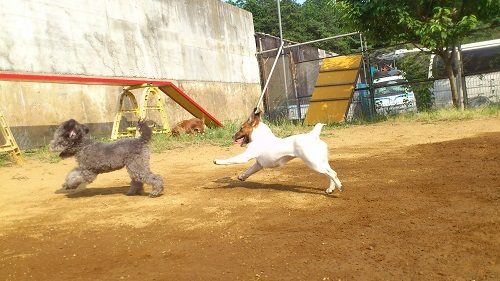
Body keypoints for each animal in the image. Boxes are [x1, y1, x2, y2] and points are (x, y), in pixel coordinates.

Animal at [213, 107, 342, 192]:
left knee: (333, 173)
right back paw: (331, 188)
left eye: (241, 128)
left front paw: (218, 161)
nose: (231, 136)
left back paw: (339, 186)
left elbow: (230, 160)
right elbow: (249, 171)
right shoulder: (258, 164)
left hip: (313, 163)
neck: (261, 137)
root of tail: (312, 135)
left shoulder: (245, 157)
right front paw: (242, 177)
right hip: (321, 162)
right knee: (330, 173)